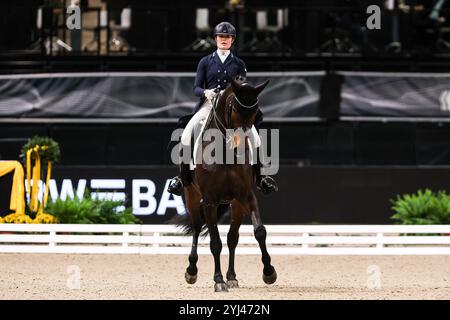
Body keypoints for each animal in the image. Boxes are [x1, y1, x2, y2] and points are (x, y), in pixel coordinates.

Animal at [175, 78, 274, 292]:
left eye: (255, 110)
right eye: (234, 108)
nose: (241, 146)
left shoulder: (246, 196)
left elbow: (259, 232)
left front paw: (269, 272)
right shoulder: (210, 201)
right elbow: (215, 242)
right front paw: (218, 281)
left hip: (235, 203)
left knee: (232, 237)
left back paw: (232, 277)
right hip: (192, 195)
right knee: (197, 228)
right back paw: (192, 271)